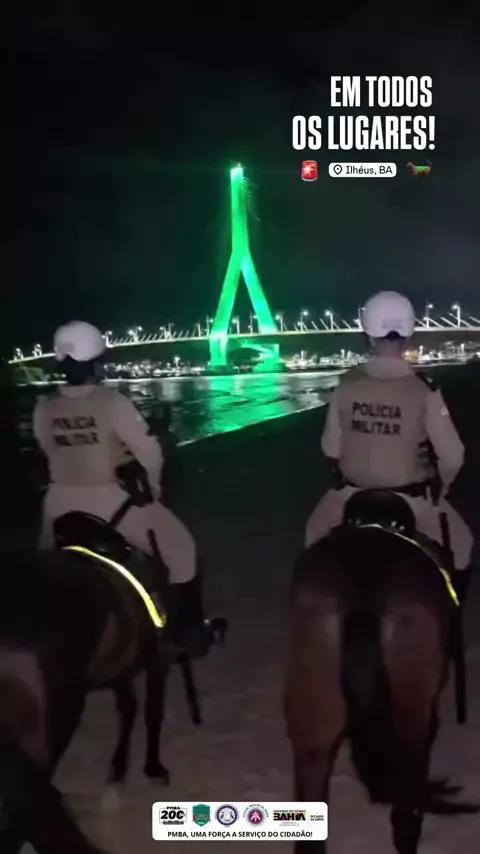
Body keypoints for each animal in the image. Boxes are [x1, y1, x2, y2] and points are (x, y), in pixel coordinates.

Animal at [0, 509, 226, 853]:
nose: (211, 631)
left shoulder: (122, 668)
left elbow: (129, 710)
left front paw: (117, 774)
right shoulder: (157, 660)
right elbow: (152, 712)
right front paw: (153, 769)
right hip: (51, 728)